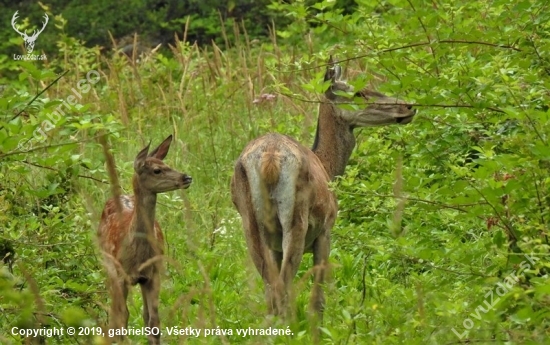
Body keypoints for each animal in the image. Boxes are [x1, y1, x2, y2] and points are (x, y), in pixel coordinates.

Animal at [98, 135, 193, 344]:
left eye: (166, 163)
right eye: (157, 170)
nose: (187, 177)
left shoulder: (153, 273)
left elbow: (153, 320)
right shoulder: (120, 274)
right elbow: (122, 317)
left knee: (143, 314)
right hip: (108, 267)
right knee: (115, 315)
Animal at [231, 57, 416, 322]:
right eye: (359, 92)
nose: (409, 106)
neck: (328, 167)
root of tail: (270, 158)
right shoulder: (326, 228)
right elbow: (318, 300)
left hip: (250, 222)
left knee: (271, 292)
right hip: (297, 218)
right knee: (284, 288)